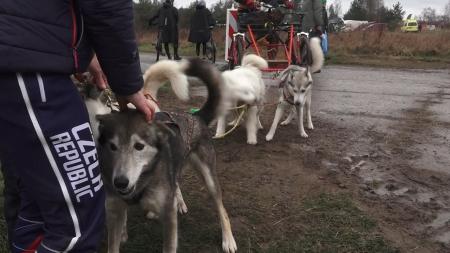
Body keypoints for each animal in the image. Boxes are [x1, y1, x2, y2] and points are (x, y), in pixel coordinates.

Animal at [94, 59, 236, 253]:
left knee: (221, 208)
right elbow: (114, 242)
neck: (142, 182)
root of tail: (196, 116)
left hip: (209, 178)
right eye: (112, 147)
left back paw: (228, 239)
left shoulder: (169, 218)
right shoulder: (114, 211)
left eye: (139, 146)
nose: (120, 182)